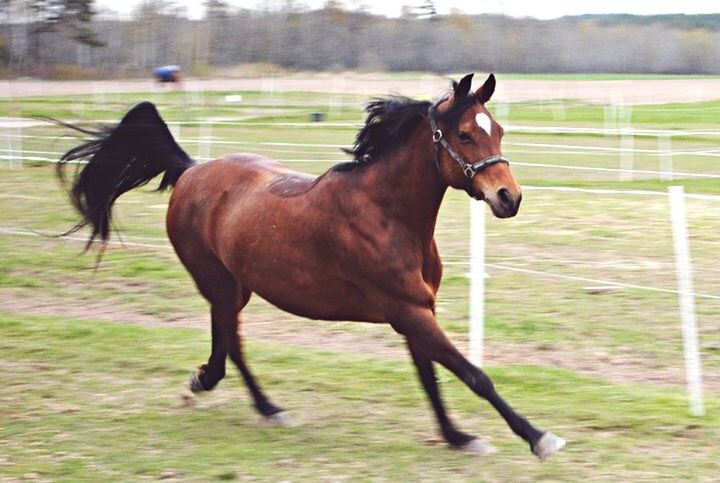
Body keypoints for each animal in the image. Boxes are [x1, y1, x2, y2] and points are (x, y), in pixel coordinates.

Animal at [56, 73, 564, 460]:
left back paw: (232, 393)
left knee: (227, 342)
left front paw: (458, 437)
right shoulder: (407, 311)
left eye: (498, 130)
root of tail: (190, 169)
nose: (509, 197)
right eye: (464, 134)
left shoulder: (417, 312)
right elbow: (474, 375)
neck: (388, 213)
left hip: (236, 285)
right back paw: (253, 402)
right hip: (218, 282)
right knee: (231, 345)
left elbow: (431, 378)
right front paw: (539, 438)